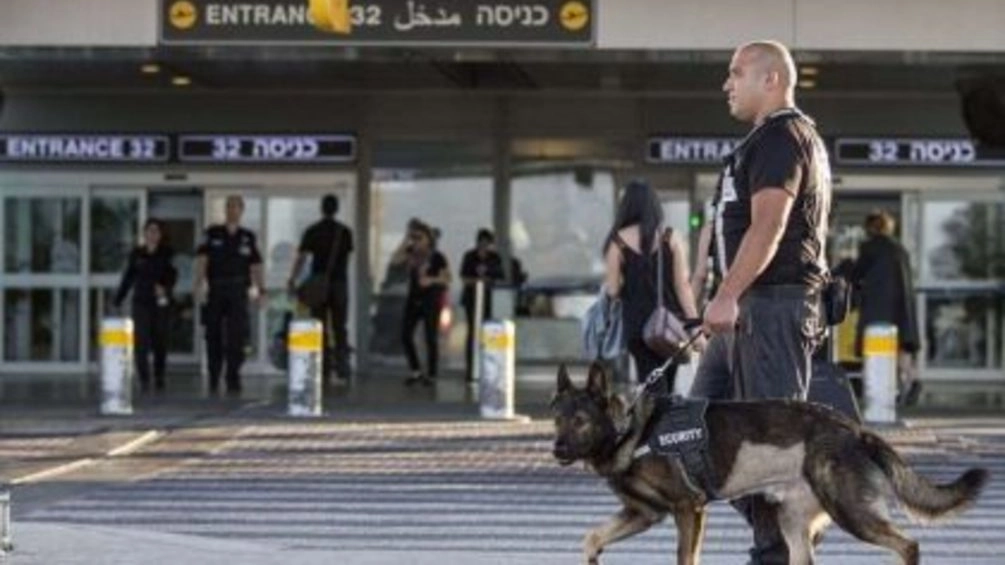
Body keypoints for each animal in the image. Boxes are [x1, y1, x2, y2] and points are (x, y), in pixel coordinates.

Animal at [554, 361, 992, 558]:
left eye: (580, 421)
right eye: (558, 418)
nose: (556, 450)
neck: (631, 429)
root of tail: (855, 429)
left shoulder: (688, 510)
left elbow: (685, 558)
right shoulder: (643, 514)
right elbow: (591, 538)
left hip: (851, 513)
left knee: (908, 546)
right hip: (794, 525)